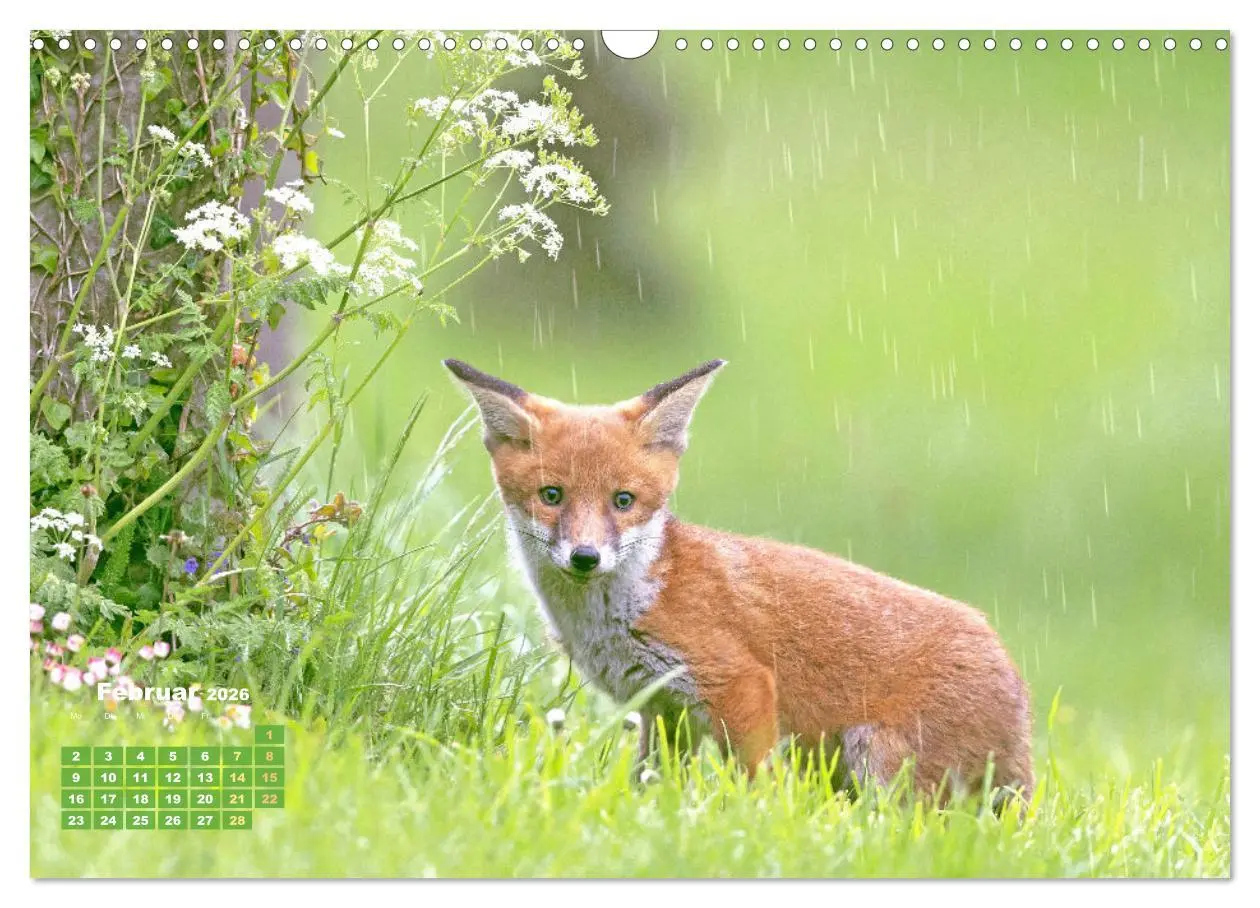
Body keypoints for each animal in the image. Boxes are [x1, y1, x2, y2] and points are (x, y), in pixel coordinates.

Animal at [444, 357, 1033, 801]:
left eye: (623, 501)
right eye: (552, 496)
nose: (586, 557)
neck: (625, 608)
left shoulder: (738, 683)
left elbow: (755, 784)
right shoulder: (664, 708)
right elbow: (651, 783)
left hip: (881, 762)